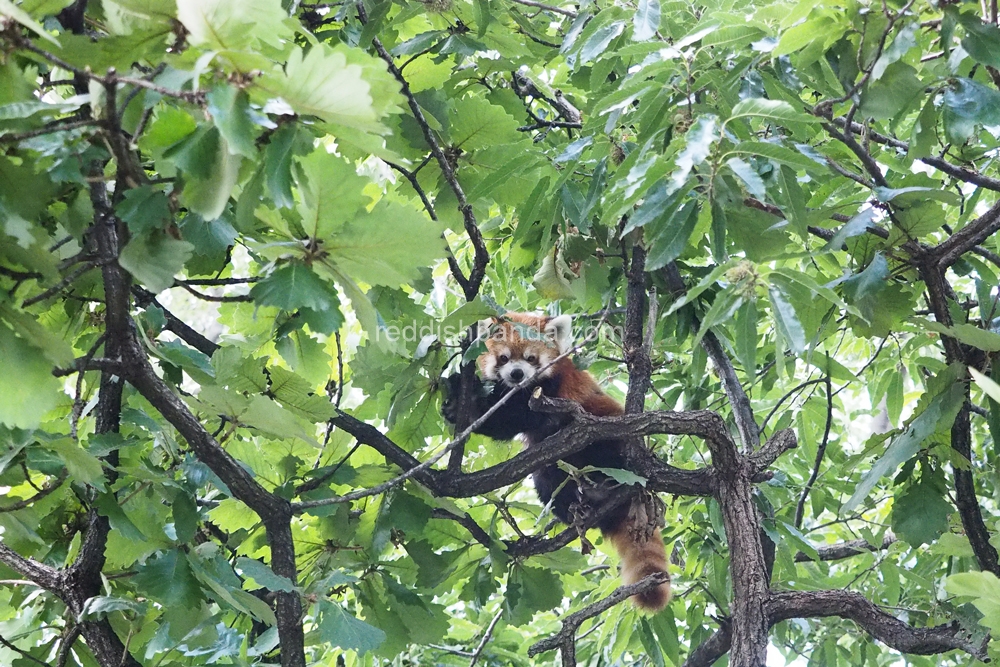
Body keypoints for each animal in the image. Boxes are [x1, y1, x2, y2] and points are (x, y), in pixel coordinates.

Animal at [446, 312, 672, 612]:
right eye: (503, 358)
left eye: (531, 358)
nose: (517, 374)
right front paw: (457, 394)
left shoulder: (552, 390)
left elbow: (514, 417)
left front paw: (470, 403)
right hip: (554, 474)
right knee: (546, 479)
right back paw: (575, 507)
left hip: (607, 431)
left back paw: (605, 483)